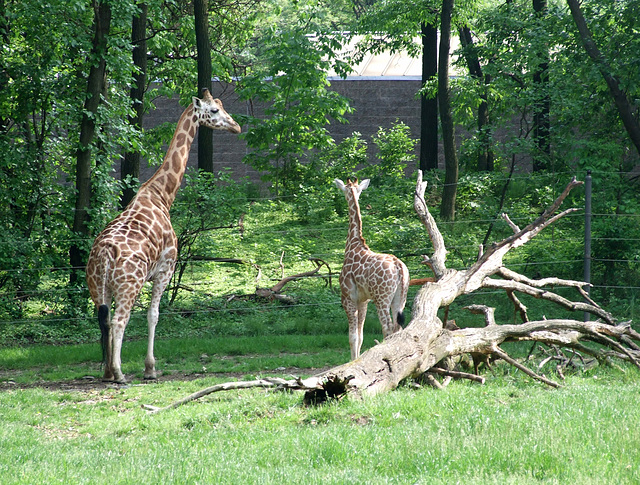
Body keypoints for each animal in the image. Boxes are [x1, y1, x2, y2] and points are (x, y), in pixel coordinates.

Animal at [86, 88, 241, 382]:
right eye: (214, 110)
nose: (236, 126)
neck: (162, 195)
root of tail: (105, 253)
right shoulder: (165, 269)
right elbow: (154, 315)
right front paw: (150, 368)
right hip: (129, 285)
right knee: (119, 320)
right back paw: (120, 373)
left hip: (97, 288)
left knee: (104, 321)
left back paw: (108, 372)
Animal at [336, 178, 410, 360]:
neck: (353, 244)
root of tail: (399, 267)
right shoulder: (363, 300)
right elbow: (360, 335)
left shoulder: (348, 297)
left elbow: (352, 336)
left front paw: (353, 362)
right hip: (400, 297)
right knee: (398, 328)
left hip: (382, 298)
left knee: (388, 328)